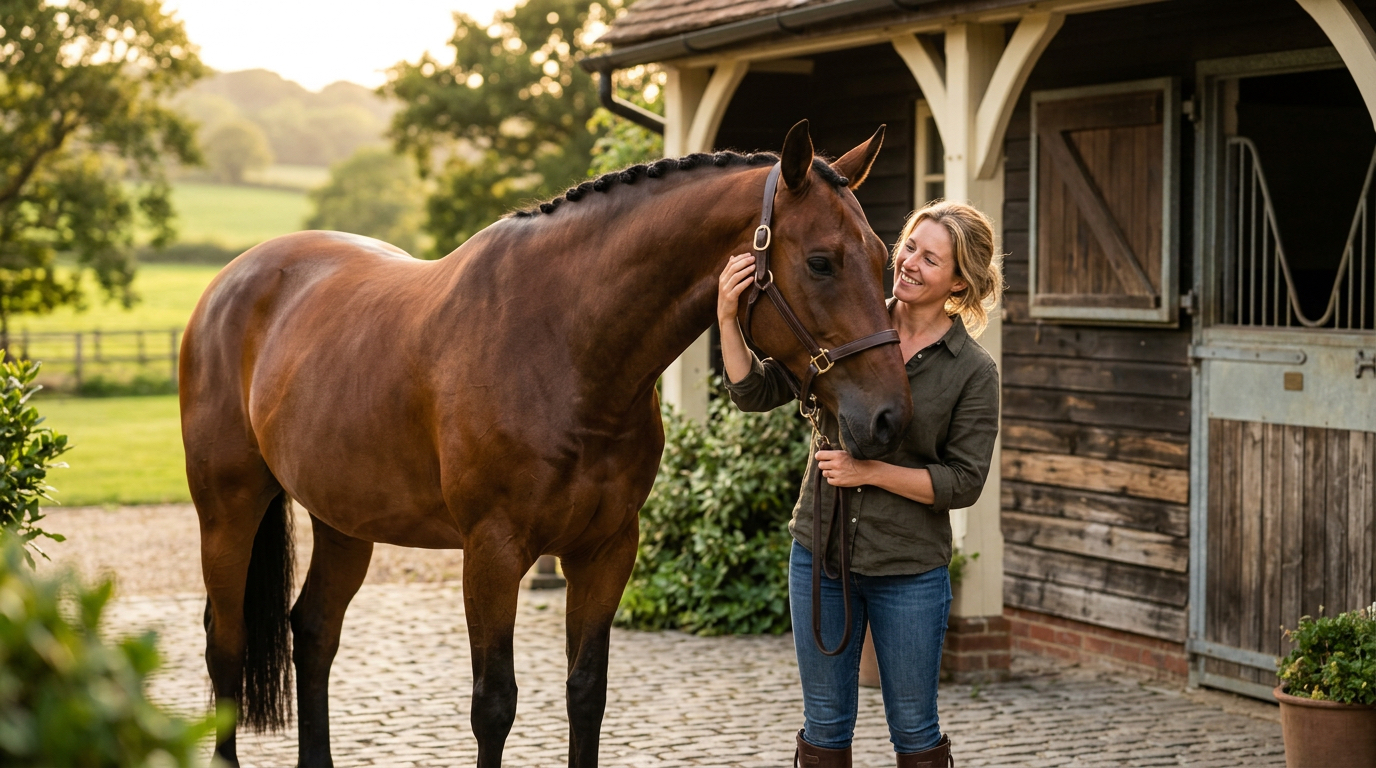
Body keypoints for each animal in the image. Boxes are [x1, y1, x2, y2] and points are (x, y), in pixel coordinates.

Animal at [179, 120, 913, 767]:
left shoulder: (607, 550)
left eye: (886, 259)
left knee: (313, 633)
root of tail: (231, 282)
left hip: (344, 521)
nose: (888, 419)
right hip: (227, 510)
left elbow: (586, 694)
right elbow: (494, 705)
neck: (564, 345)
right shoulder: (493, 553)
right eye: (820, 262)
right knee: (226, 643)